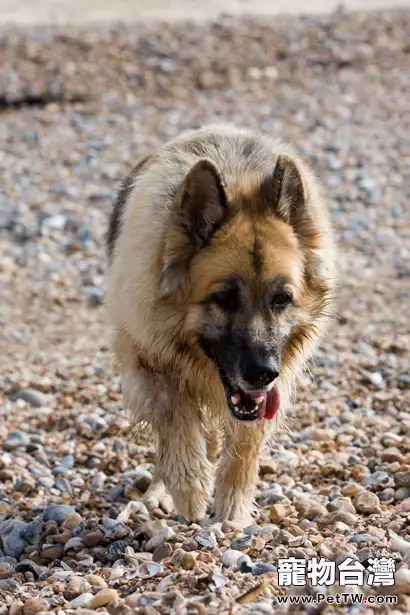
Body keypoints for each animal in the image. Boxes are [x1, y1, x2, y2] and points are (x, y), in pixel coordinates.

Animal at [106, 126, 336, 528]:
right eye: (224, 298)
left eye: (282, 298)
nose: (262, 373)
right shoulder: (149, 358)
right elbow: (176, 419)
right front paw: (190, 489)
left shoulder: (271, 388)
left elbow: (244, 446)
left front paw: (232, 513)